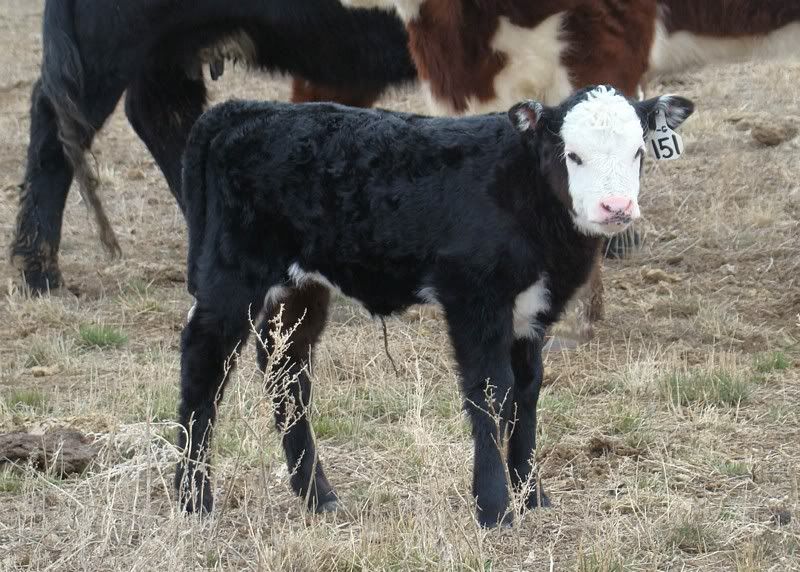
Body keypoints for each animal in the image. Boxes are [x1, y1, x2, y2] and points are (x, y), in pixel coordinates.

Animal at [174, 86, 694, 527]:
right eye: (574, 154)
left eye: (637, 151)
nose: (616, 207)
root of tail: (246, 110)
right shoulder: (473, 297)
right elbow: (490, 390)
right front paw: (494, 507)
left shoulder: (533, 311)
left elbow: (526, 392)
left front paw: (532, 495)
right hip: (232, 274)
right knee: (205, 363)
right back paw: (193, 498)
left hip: (299, 286)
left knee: (287, 369)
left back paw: (317, 496)